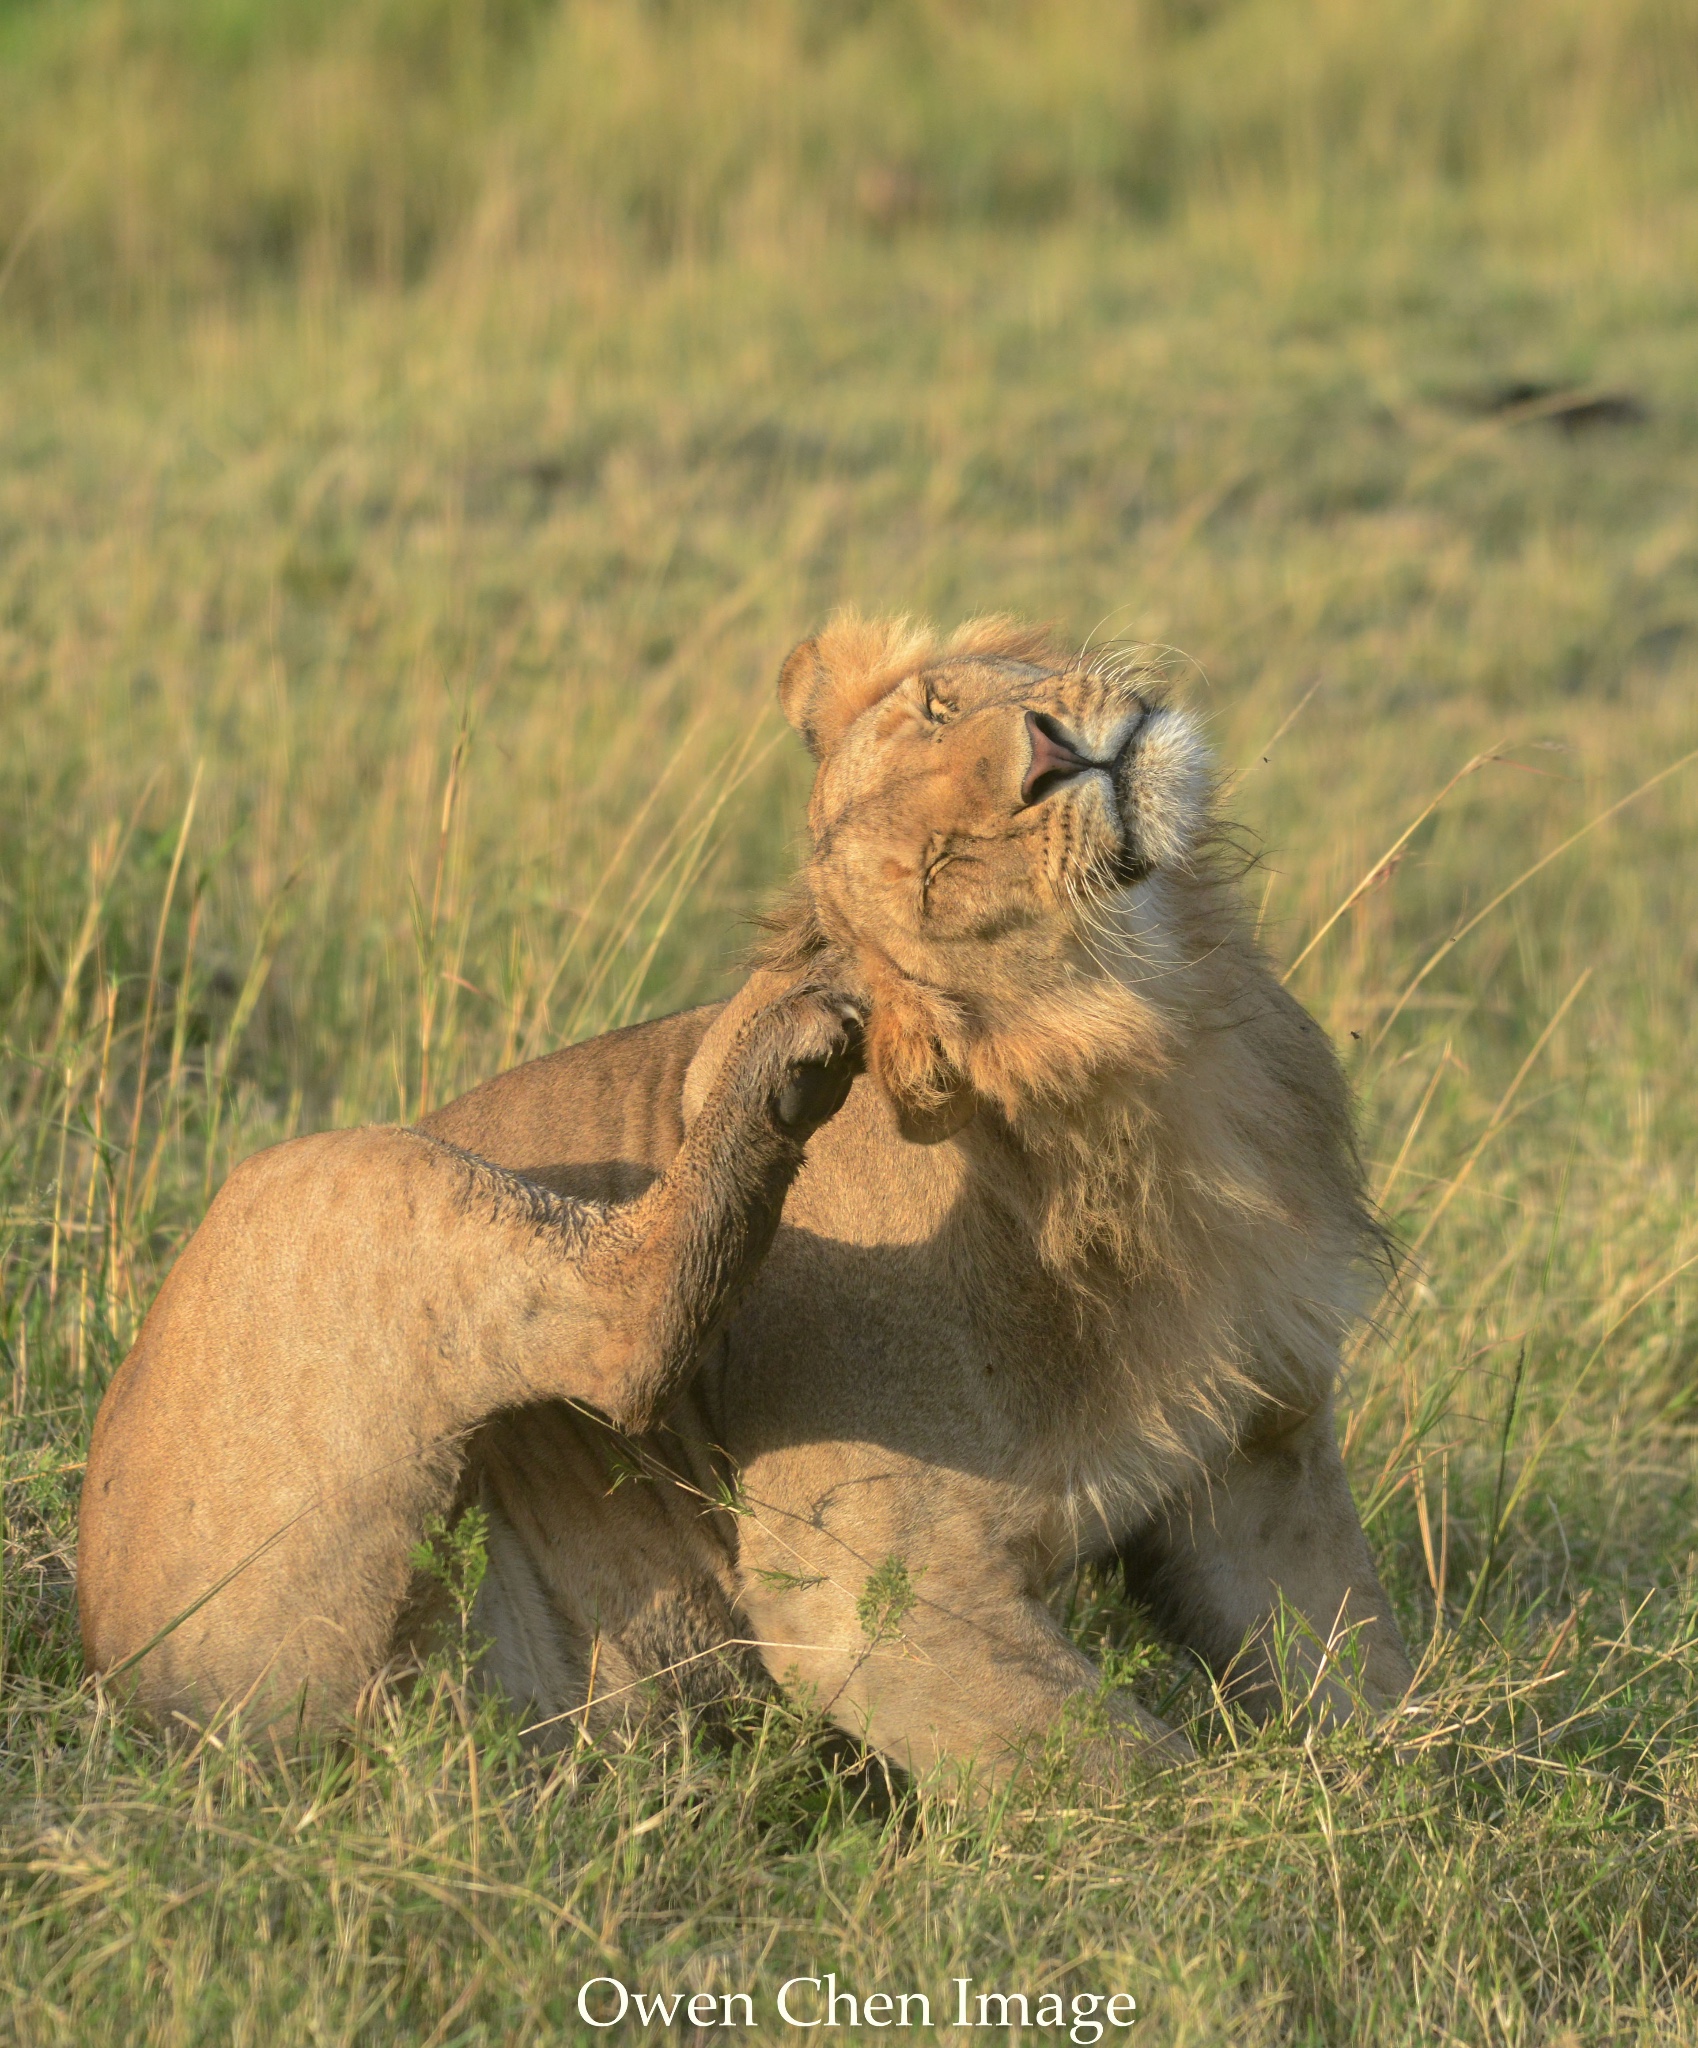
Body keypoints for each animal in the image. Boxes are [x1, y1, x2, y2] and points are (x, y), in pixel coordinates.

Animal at [413, 610, 1417, 1777]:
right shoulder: (865, 1596)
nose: (1052, 756)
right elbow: (1136, 1775)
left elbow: (1374, 1686)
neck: (1166, 1057)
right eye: (945, 871)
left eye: (941, 704)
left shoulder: (1261, 1458)